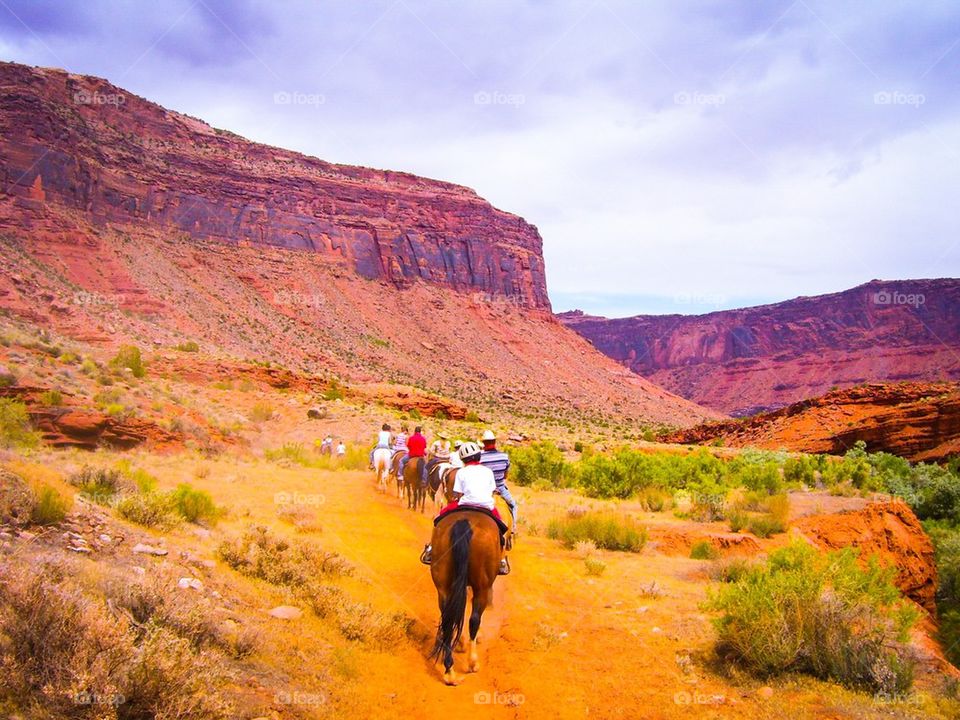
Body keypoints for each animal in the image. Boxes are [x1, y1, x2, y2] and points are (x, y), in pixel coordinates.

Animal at [430, 510, 502, 684]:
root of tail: (464, 522)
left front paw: (460, 643)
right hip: (482, 586)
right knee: (474, 619)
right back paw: (472, 662)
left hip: (443, 585)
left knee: (448, 618)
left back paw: (449, 671)